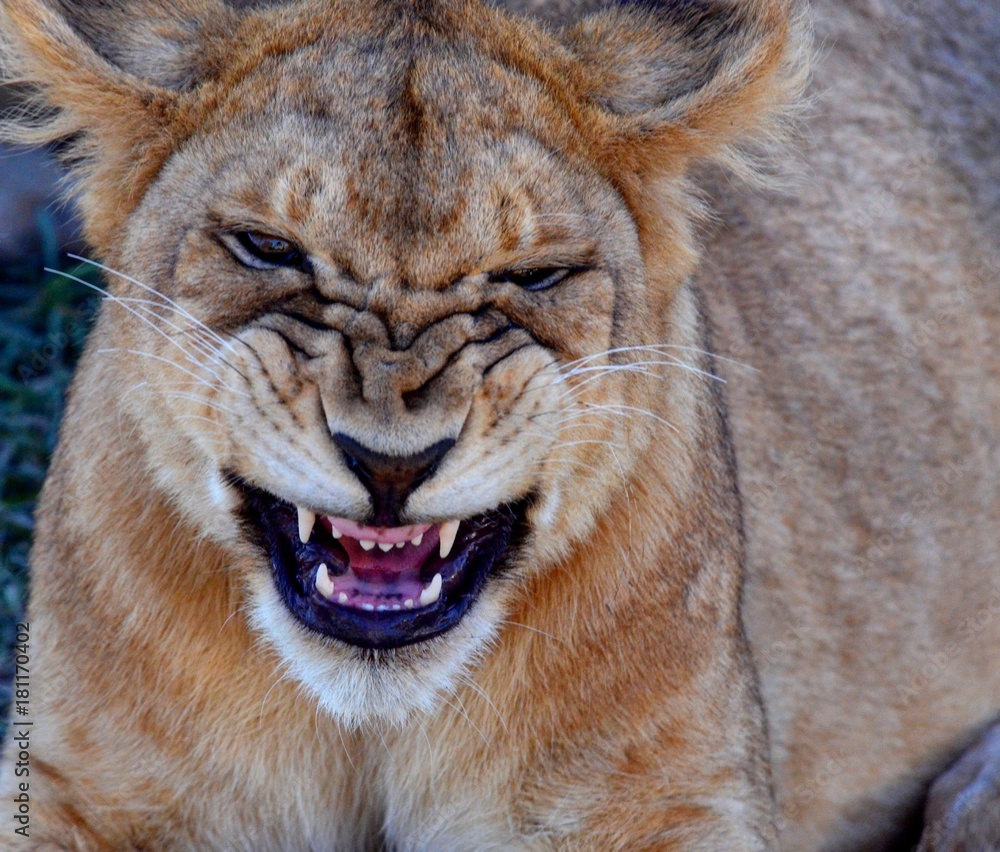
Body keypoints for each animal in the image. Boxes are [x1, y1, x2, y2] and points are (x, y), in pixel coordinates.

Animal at [0, 0, 997, 848]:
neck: (369, 725)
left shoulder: (675, 798)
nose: (390, 464)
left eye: (535, 275)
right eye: (269, 248)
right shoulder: (74, 784)